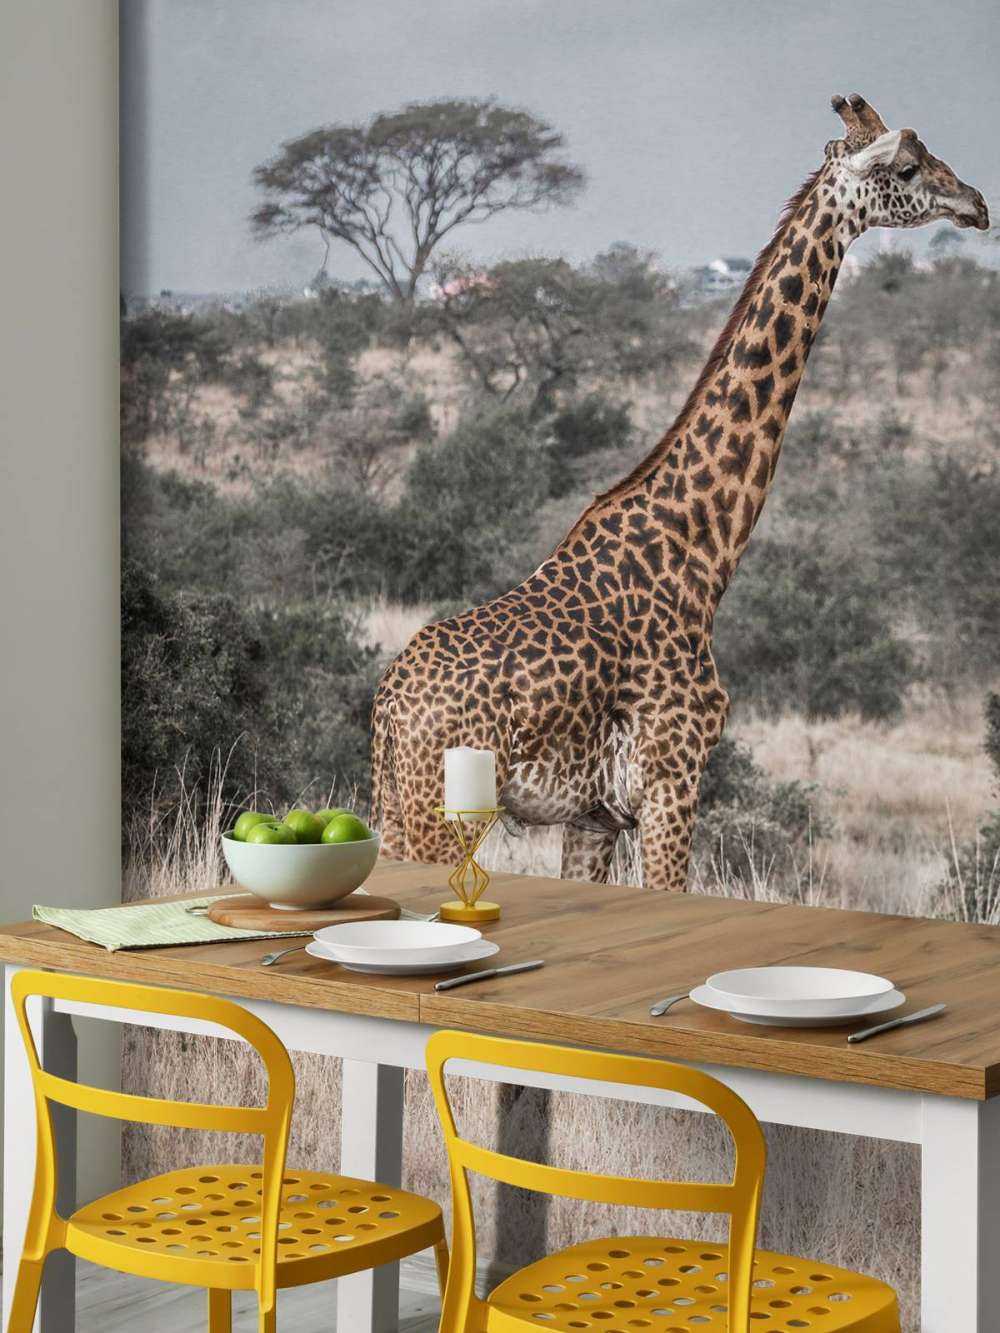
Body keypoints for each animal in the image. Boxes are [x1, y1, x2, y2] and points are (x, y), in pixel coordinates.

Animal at [371, 94, 988, 891]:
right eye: (908, 166)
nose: (976, 203)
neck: (700, 551)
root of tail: (388, 709)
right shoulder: (673, 780)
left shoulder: (594, 816)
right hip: (438, 819)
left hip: (394, 808)